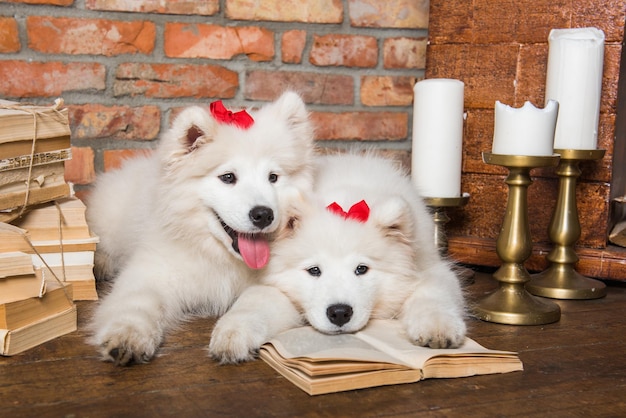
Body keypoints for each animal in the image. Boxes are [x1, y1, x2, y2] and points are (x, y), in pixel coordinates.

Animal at [86, 92, 312, 366]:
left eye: (273, 177)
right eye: (228, 177)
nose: (263, 214)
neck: (219, 256)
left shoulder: (283, 285)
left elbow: (253, 304)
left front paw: (233, 334)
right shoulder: (152, 271)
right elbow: (137, 303)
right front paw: (127, 336)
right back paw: (100, 264)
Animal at [210, 153, 468, 362]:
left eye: (361, 269)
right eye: (314, 270)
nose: (340, 313)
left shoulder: (431, 266)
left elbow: (433, 293)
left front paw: (438, 327)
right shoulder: (272, 282)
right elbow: (255, 301)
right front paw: (233, 333)